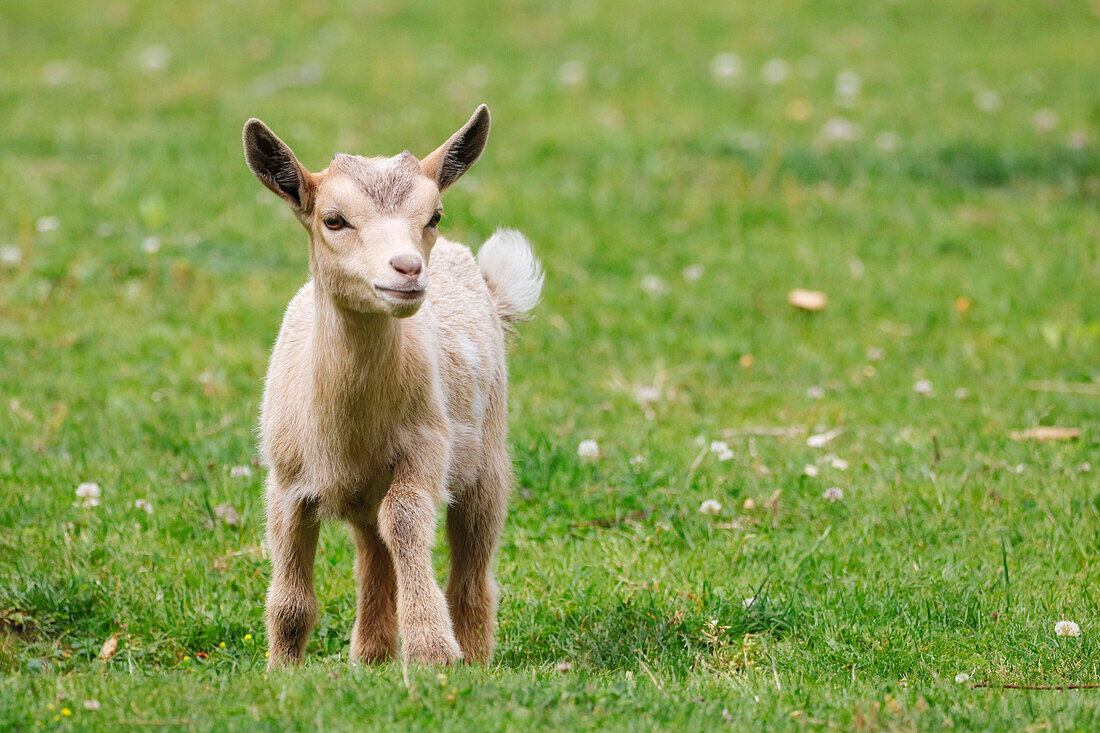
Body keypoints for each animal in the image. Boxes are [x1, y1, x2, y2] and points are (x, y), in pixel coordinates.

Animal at [245, 105, 545, 664]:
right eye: (333, 219)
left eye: (434, 216)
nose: (408, 269)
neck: (346, 432)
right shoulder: (285, 480)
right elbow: (292, 600)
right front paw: (282, 670)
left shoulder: (425, 448)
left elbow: (405, 522)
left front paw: (433, 652)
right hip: (366, 494)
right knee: (373, 554)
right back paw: (371, 656)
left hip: (487, 461)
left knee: (469, 567)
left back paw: (473, 655)